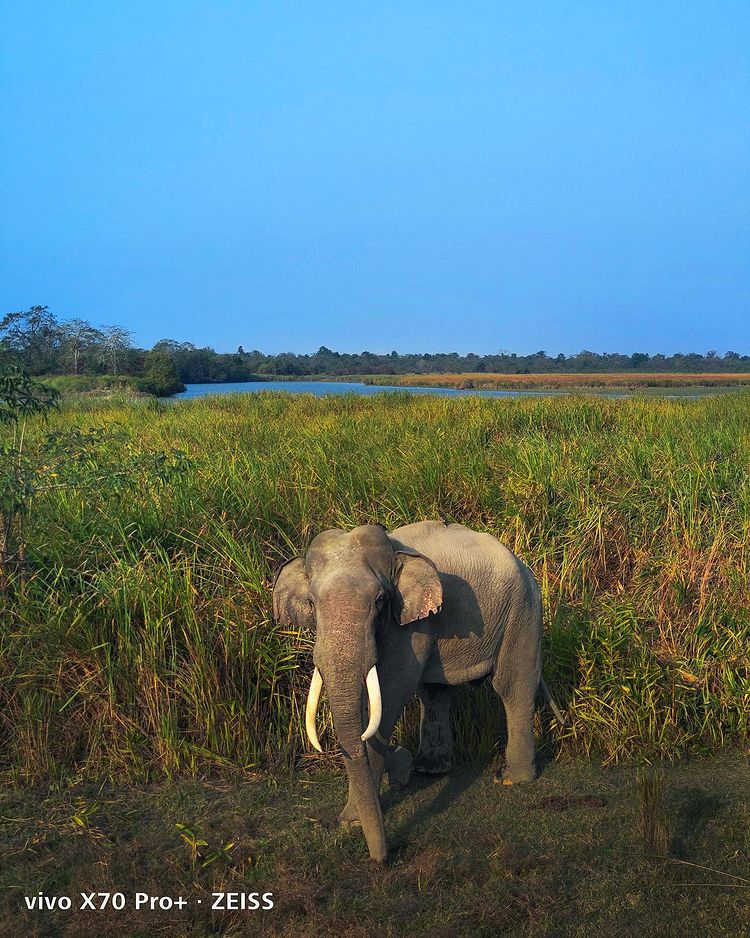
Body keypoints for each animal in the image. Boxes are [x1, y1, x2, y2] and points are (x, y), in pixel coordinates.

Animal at [274, 524, 556, 860]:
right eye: (312, 603)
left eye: (380, 600)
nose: (383, 859)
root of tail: (523, 565)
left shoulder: (411, 624)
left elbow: (392, 691)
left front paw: (353, 820)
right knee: (435, 693)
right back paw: (431, 769)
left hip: (523, 611)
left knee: (513, 686)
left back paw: (512, 779)